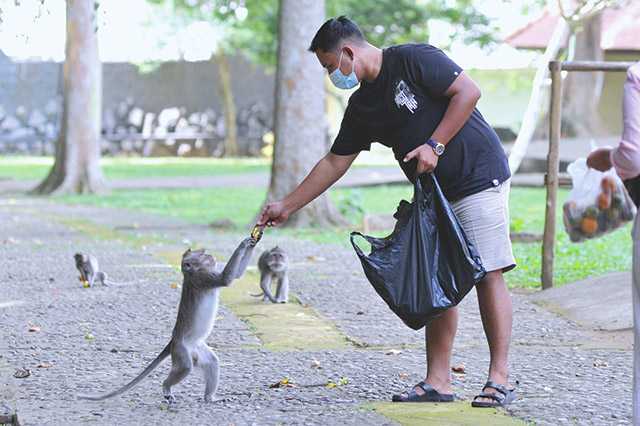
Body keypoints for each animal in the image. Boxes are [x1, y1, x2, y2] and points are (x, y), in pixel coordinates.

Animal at [75, 238, 255, 404]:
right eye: (204, 256)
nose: (212, 256)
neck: (191, 273)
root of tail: (173, 341)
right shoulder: (203, 278)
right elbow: (226, 279)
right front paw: (244, 244)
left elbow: (236, 275)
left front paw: (253, 240)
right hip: (181, 351)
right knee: (185, 368)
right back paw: (166, 387)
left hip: (196, 350)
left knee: (212, 362)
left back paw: (210, 398)